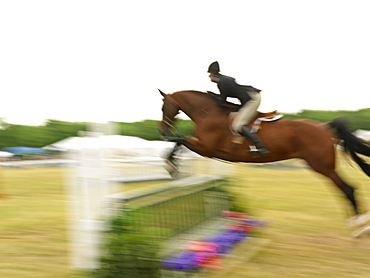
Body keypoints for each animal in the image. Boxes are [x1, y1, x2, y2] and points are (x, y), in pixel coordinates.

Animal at [158, 89, 370, 235]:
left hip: (322, 166)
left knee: (348, 189)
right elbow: (180, 141)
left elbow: (181, 140)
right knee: (348, 189)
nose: (162, 131)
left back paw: (358, 228)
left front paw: (171, 165)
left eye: (163, 107)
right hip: (323, 166)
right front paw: (172, 165)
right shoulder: (206, 148)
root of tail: (325, 126)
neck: (207, 113)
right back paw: (358, 225)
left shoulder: (208, 149)